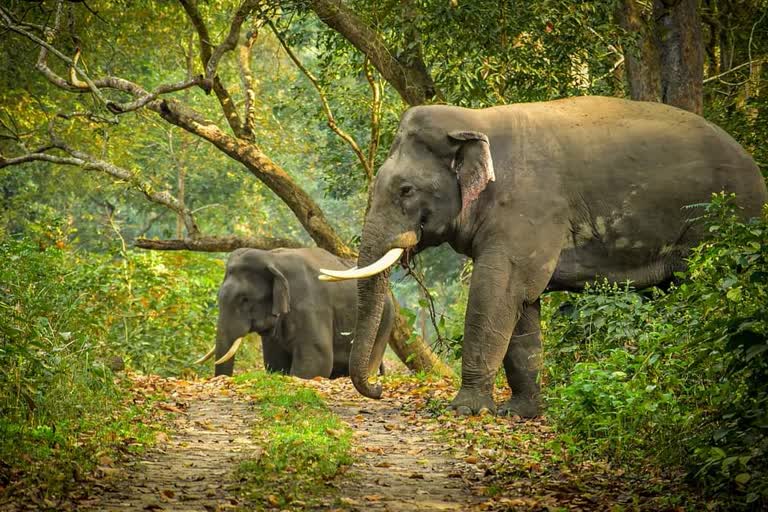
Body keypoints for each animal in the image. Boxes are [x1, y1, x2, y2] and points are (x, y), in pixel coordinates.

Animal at [196, 248, 396, 380]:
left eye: (244, 299)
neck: (273, 258)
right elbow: (275, 363)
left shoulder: (311, 305)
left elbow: (317, 360)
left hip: (384, 322)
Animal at [320, 95, 768, 416]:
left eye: (406, 190)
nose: (378, 390)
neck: (476, 121)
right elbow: (522, 306)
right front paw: (520, 413)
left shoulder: (529, 209)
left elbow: (498, 292)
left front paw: (464, 410)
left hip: (720, 224)